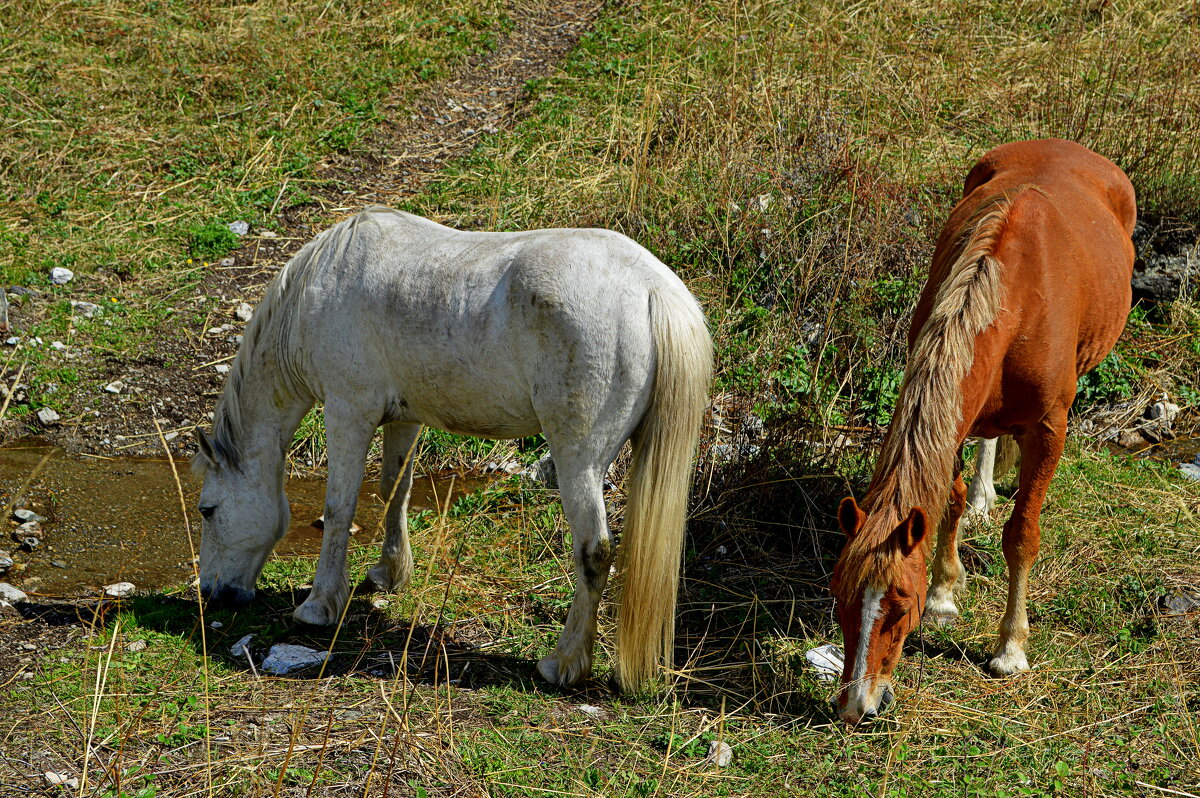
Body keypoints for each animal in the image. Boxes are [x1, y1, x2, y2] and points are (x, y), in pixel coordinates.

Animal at [190, 206, 705, 691]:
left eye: (207, 510)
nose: (212, 593)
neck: (319, 286)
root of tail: (652, 289)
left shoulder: (347, 412)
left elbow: (339, 508)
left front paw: (318, 606)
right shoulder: (403, 417)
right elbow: (392, 491)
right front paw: (390, 572)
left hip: (578, 458)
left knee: (594, 551)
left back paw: (562, 664)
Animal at [830, 139, 1137, 724]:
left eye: (898, 605)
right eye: (840, 597)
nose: (858, 705)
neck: (1017, 297)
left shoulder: (1048, 430)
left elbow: (1021, 536)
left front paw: (1010, 648)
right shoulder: (952, 417)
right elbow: (945, 503)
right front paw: (945, 594)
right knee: (986, 445)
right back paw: (982, 494)